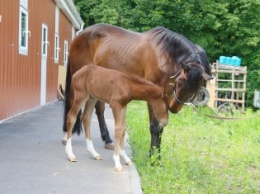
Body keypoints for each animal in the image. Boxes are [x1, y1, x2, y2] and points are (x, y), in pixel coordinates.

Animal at [62, 23, 211, 156]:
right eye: (179, 81)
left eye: (197, 87)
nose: (174, 108)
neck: (164, 55)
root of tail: (80, 35)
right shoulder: (153, 96)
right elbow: (155, 126)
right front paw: (153, 158)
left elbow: (161, 128)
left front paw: (157, 156)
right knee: (71, 101)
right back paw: (65, 135)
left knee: (99, 109)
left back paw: (107, 139)